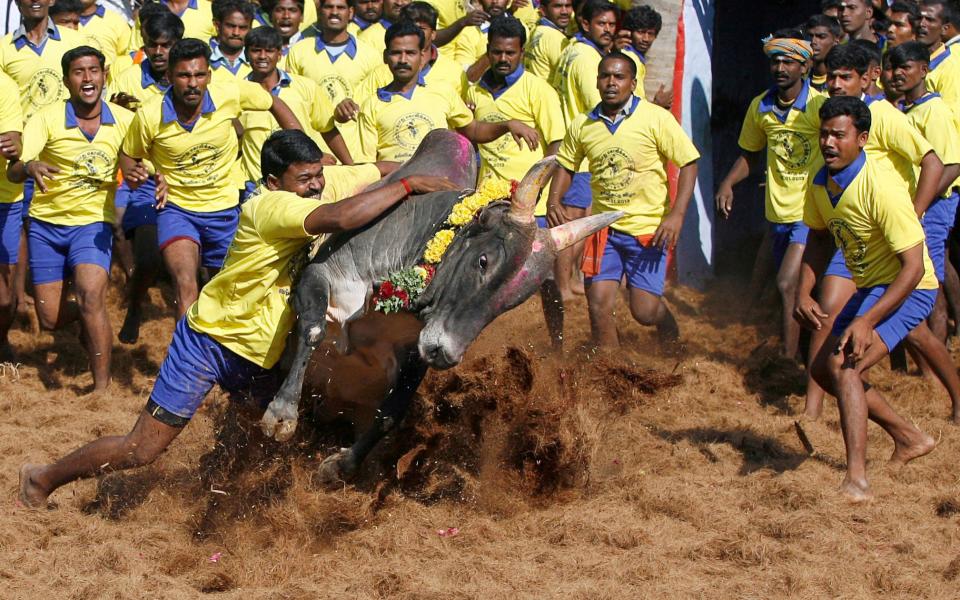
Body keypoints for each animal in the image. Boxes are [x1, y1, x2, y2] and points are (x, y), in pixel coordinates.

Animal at [258, 132, 624, 482]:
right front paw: (281, 414)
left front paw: (340, 466)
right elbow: (314, 330)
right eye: (483, 261)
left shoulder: (415, 350)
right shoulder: (320, 274)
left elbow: (391, 412)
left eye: (515, 300)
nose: (446, 352)